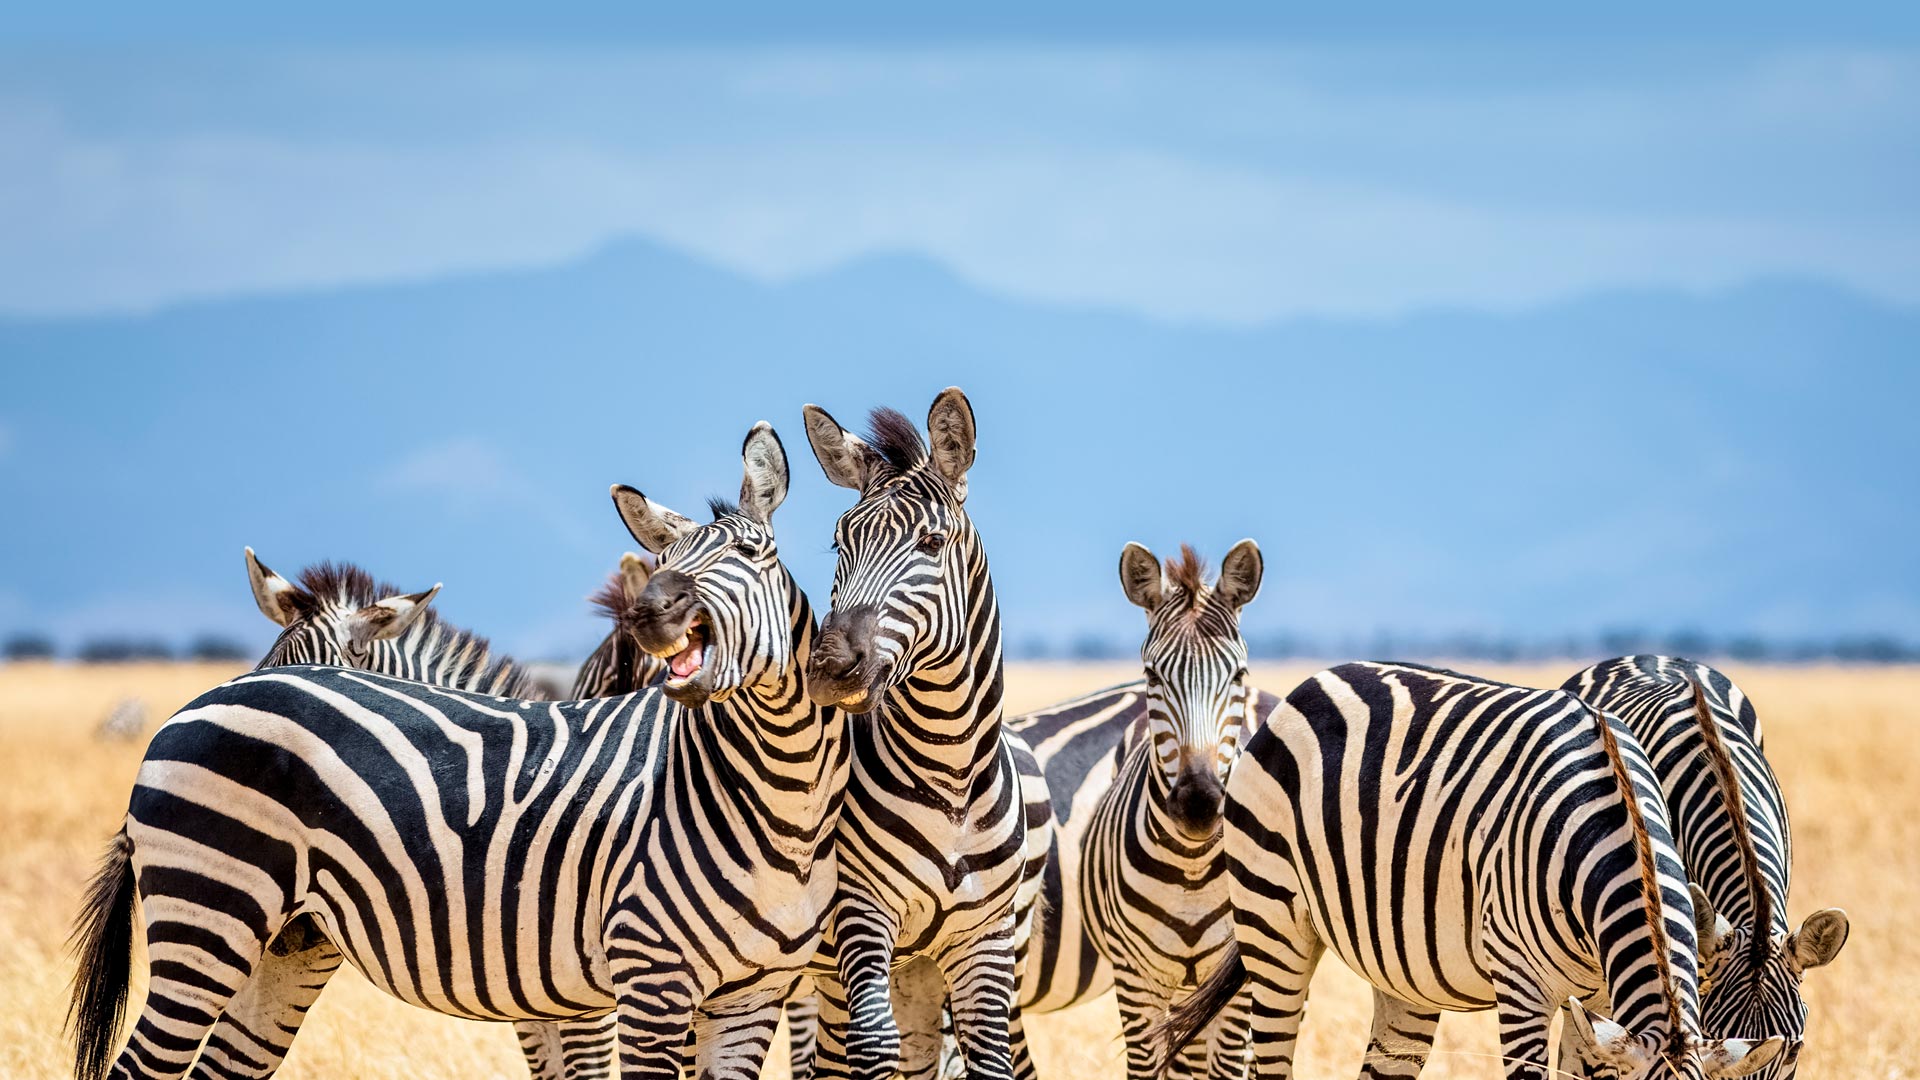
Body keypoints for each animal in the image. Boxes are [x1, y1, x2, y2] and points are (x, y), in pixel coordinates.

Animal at [69, 424, 848, 1076]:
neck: (779, 796)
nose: (652, 610)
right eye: (665, 559)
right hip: (209, 915)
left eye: (750, 553)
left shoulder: (742, 995)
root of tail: (189, 709)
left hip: (283, 945)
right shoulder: (631, 983)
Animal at [802, 390, 1059, 1076]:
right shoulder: (860, 915)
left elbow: (990, 1057)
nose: (830, 667)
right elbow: (872, 1045)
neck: (951, 770)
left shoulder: (985, 939)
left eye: (931, 540)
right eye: (837, 543)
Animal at [1082, 538, 1274, 1076]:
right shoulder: (1134, 980)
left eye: (1238, 673)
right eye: (1153, 675)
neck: (1191, 868)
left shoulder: (1239, 984)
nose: (1198, 805)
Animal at [1152, 661, 1797, 1076]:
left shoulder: (1597, 1001)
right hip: (1274, 923)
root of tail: (1317, 680)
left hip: (1402, 969)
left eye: (1794, 1050)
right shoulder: (1521, 983)